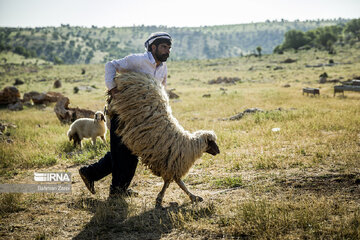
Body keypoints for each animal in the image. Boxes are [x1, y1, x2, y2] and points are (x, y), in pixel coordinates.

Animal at [108, 71, 219, 206]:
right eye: (212, 142)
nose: (218, 151)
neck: (189, 145)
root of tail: (134, 74)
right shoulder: (172, 164)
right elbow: (176, 183)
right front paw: (191, 197)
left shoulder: (170, 165)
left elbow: (172, 182)